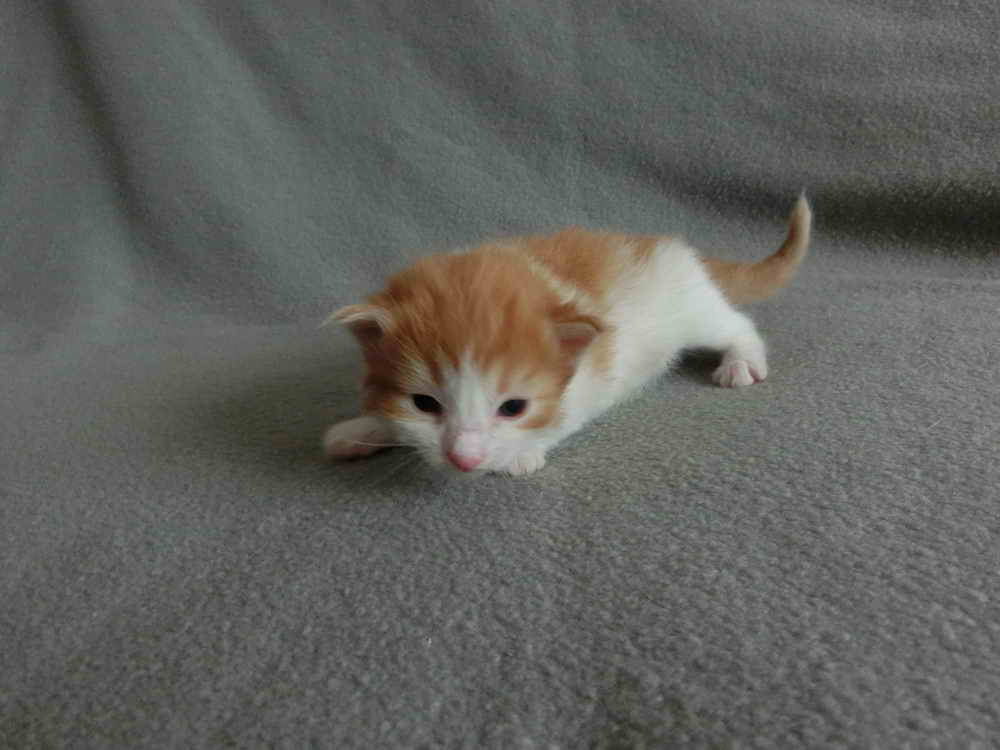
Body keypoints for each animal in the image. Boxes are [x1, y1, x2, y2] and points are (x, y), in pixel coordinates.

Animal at [324, 196, 811, 475]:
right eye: (423, 404)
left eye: (513, 408)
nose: (465, 460)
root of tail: (673, 248)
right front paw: (362, 429)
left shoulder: (596, 375)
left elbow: (566, 416)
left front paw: (521, 454)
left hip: (692, 309)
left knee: (736, 324)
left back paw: (740, 361)